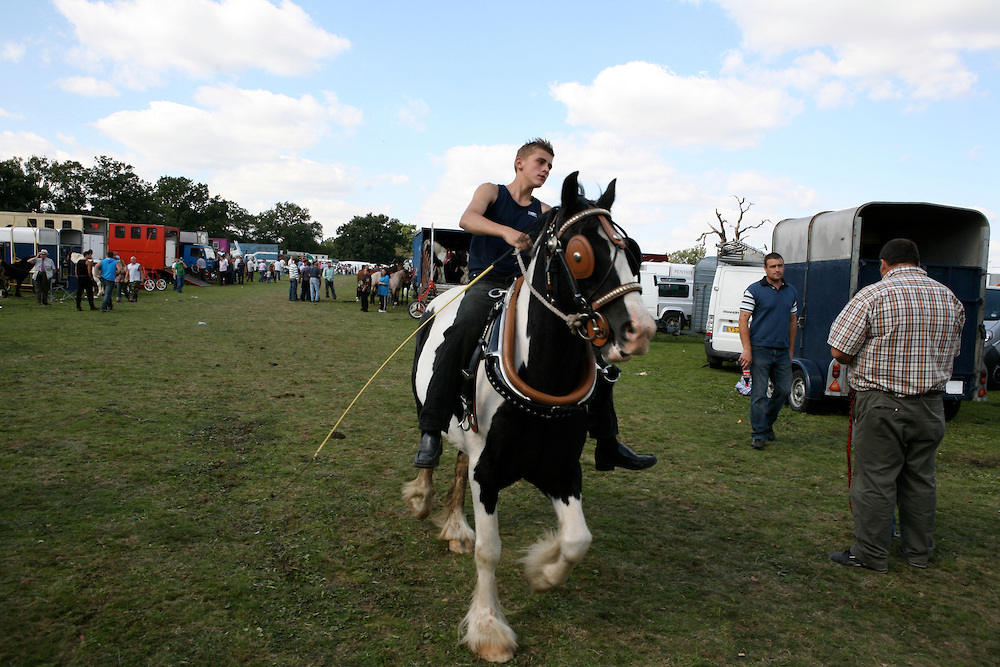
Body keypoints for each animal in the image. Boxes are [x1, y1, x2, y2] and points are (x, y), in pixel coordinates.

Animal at [402, 172, 660, 664]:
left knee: (457, 464)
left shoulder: (561, 469)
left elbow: (578, 540)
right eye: (579, 254)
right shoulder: (488, 472)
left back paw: (455, 527)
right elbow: (490, 551)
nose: (640, 331)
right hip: (427, 407)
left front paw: (542, 572)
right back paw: (424, 498)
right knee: (431, 440)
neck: (541, 372)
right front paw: (488, 628)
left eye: (635, 252)